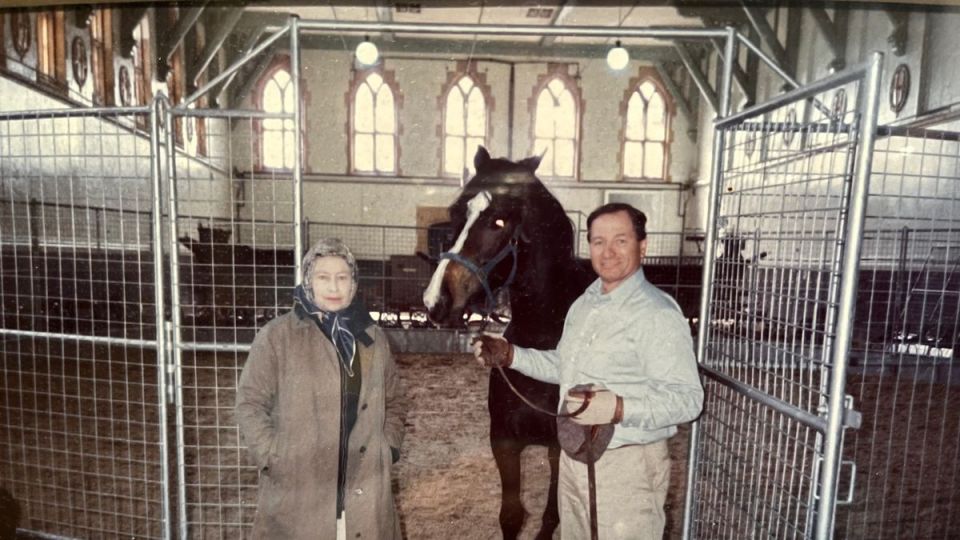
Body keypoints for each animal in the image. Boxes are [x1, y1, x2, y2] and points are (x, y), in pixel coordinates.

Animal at [426, 146, 596, 536]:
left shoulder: (559, 449)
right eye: (456, 213)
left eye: (500, 222)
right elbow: (511, 515)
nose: (435, 301)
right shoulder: (504, 442)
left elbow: (551, 515)